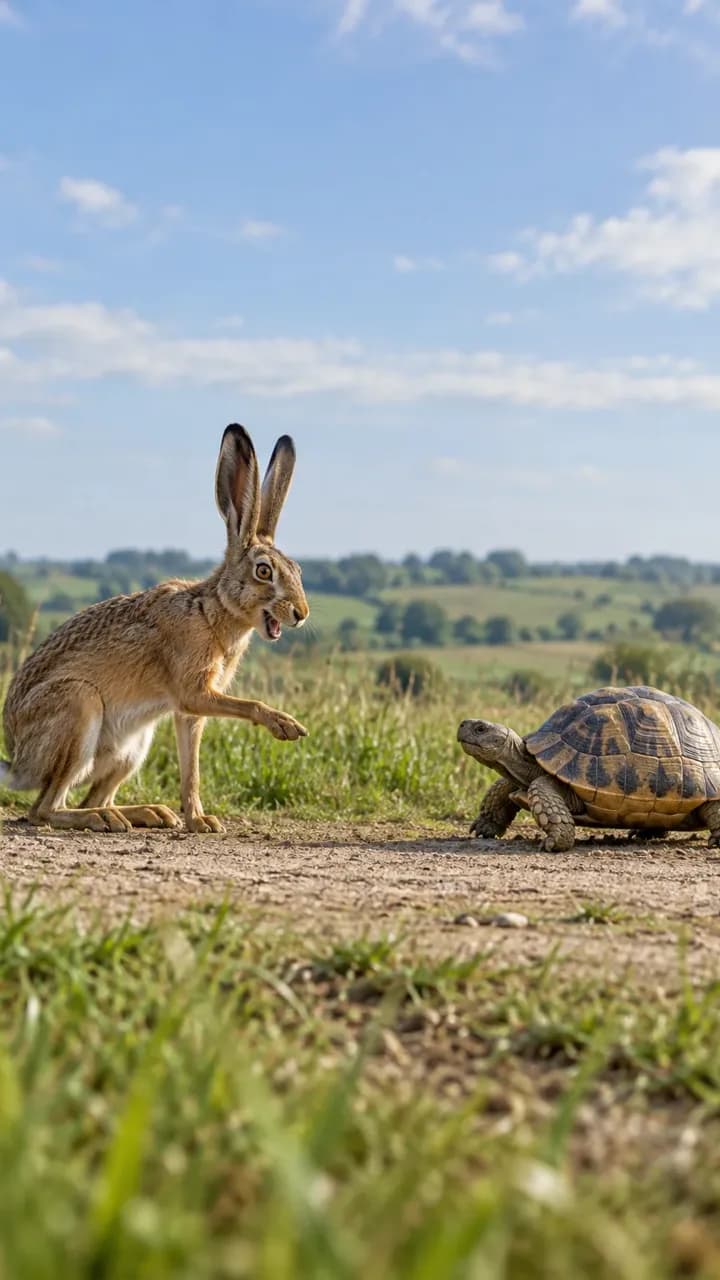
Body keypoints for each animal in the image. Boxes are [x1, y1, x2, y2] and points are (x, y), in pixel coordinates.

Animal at [1, 424, 310, 834]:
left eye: (297, 570)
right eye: (263, 571)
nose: (301, 613)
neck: (211, 611)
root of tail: (16, 763)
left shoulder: (191, 712)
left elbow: (191, 771)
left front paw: (200, 821)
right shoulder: (193, 691)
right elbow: (245, 706)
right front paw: (285, 726)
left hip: (133, 748)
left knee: (90, 796)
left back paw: (147, 813)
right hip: (78, 708)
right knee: (46, 808)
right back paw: (103, 819)